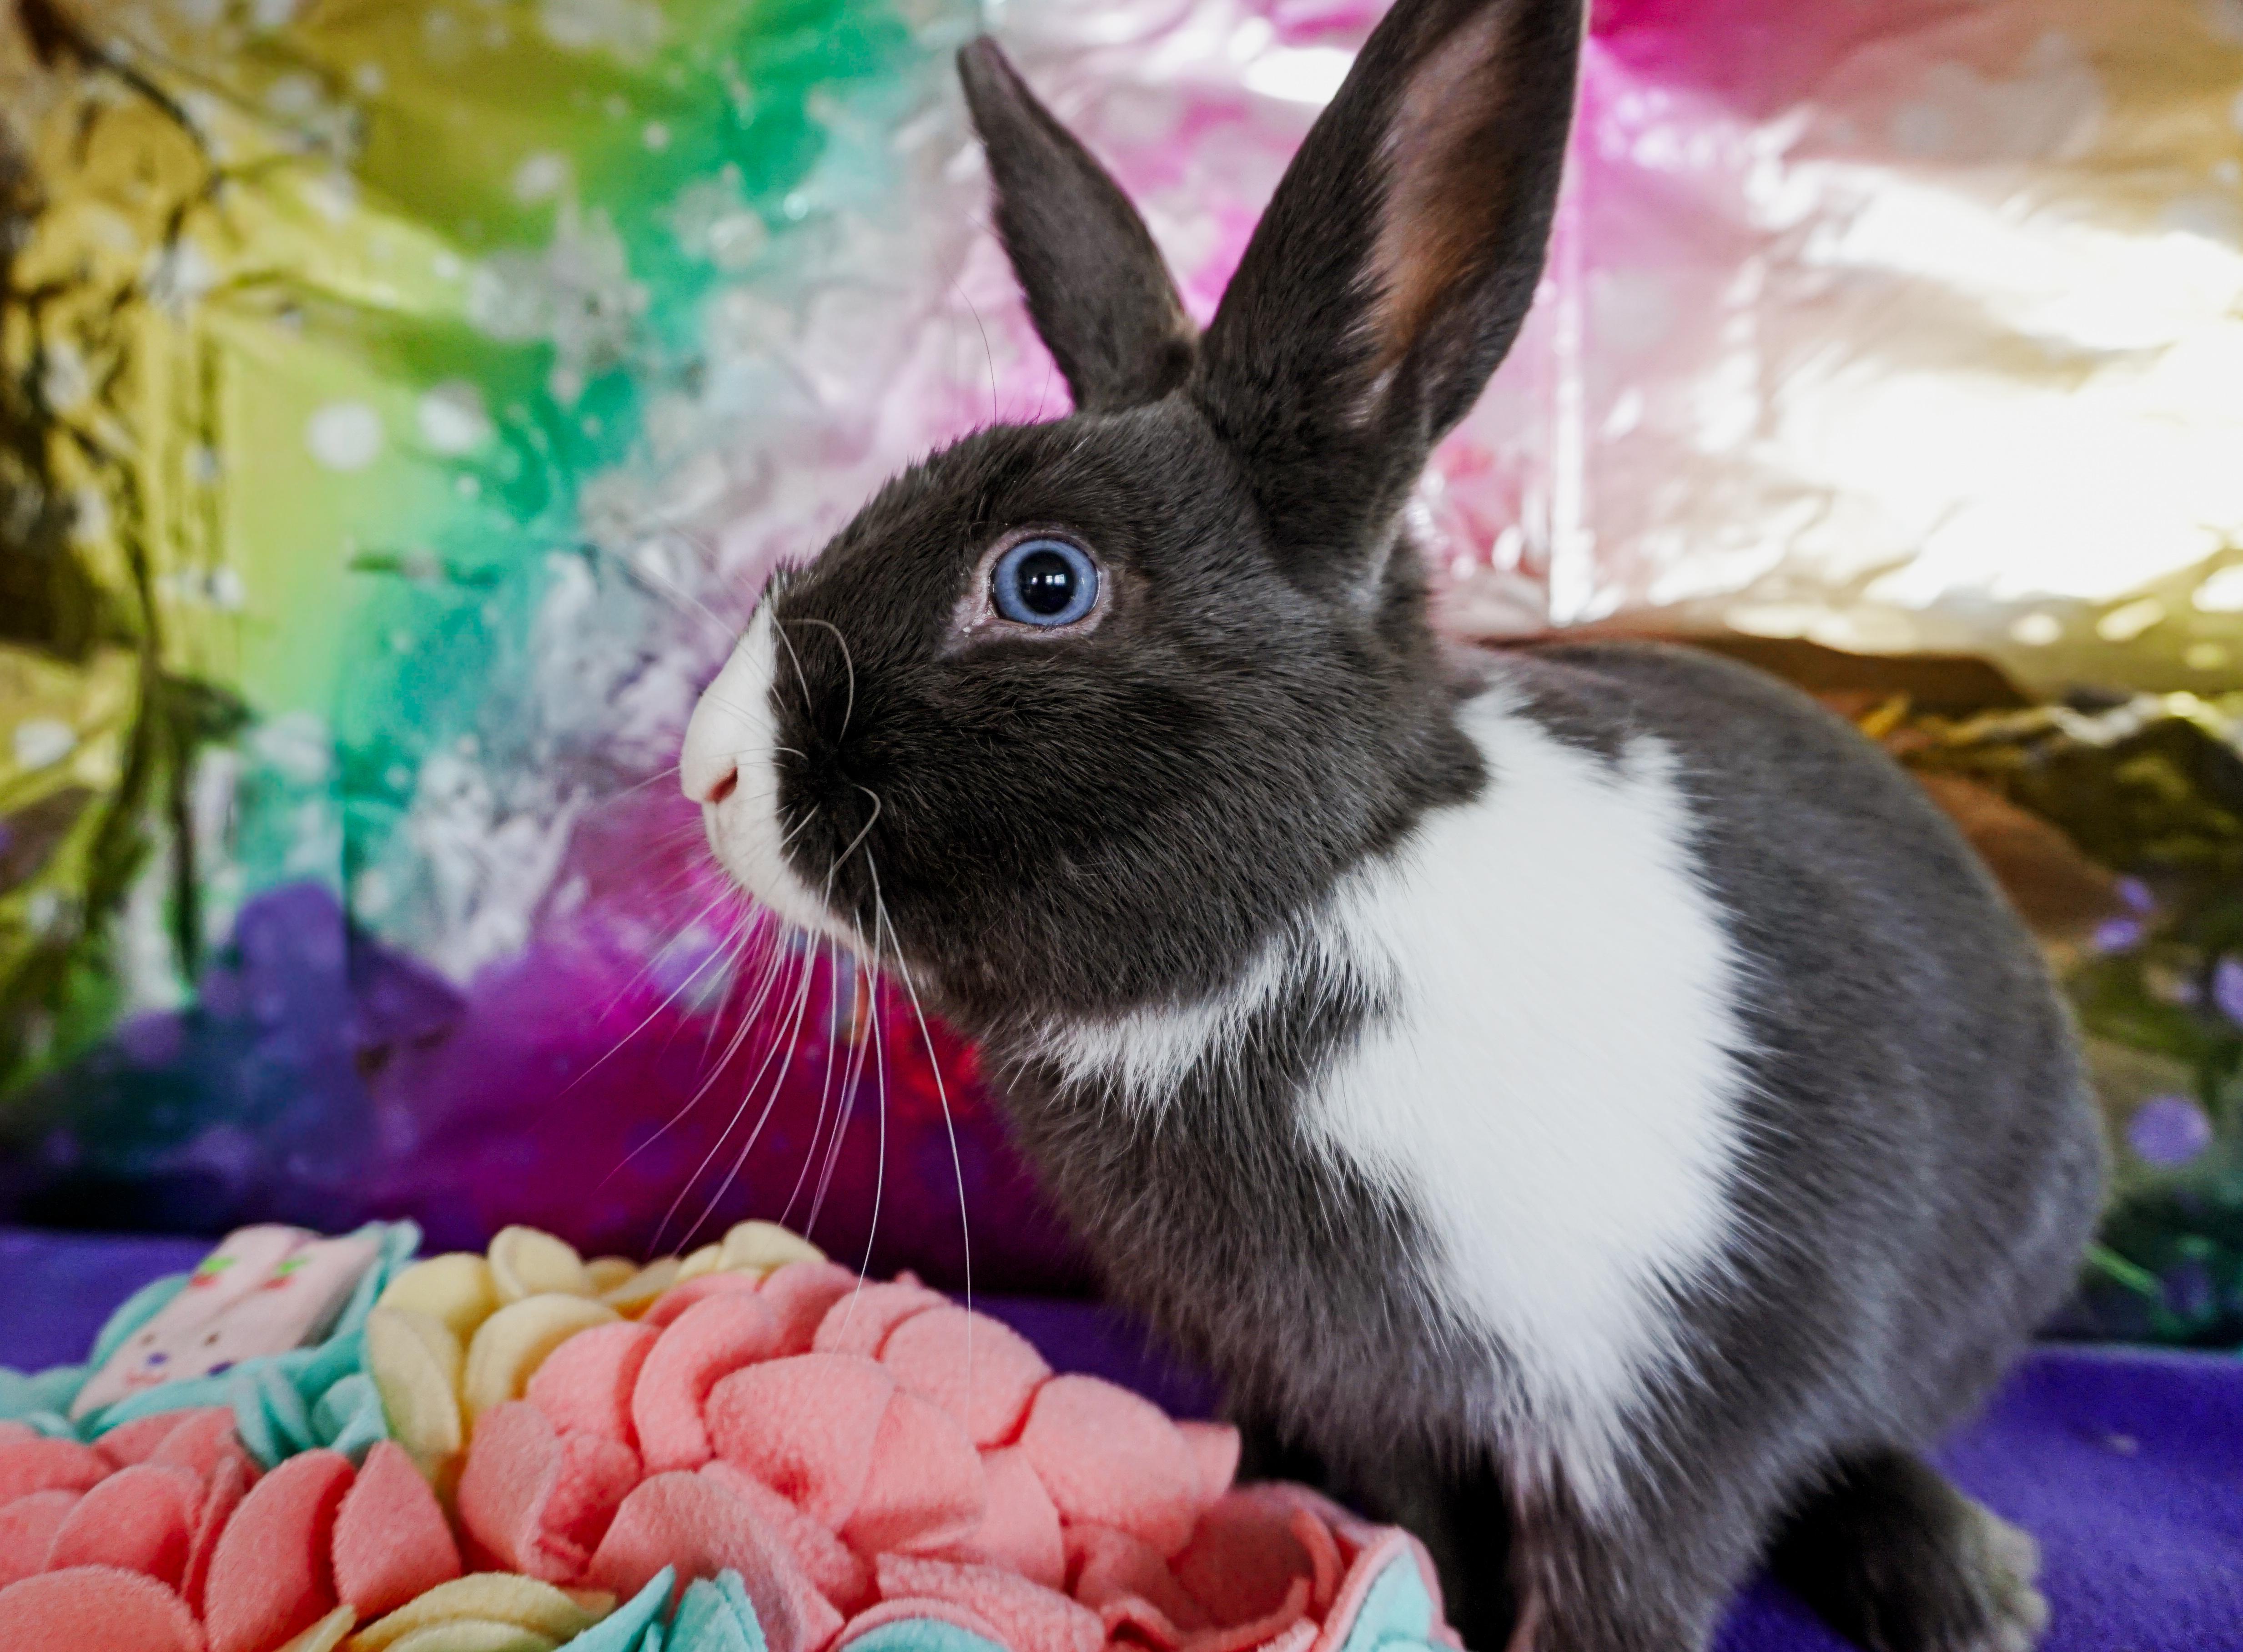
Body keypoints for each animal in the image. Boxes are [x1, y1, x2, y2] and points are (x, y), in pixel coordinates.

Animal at [676, 1, 2105, 1648]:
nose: (706, 771)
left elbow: (1632, 1572)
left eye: (1042, 582)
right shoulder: (1367, 1393)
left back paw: (1970, 1589)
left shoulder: (1677, 1383)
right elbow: (1417, 1526)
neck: (1291, 923)